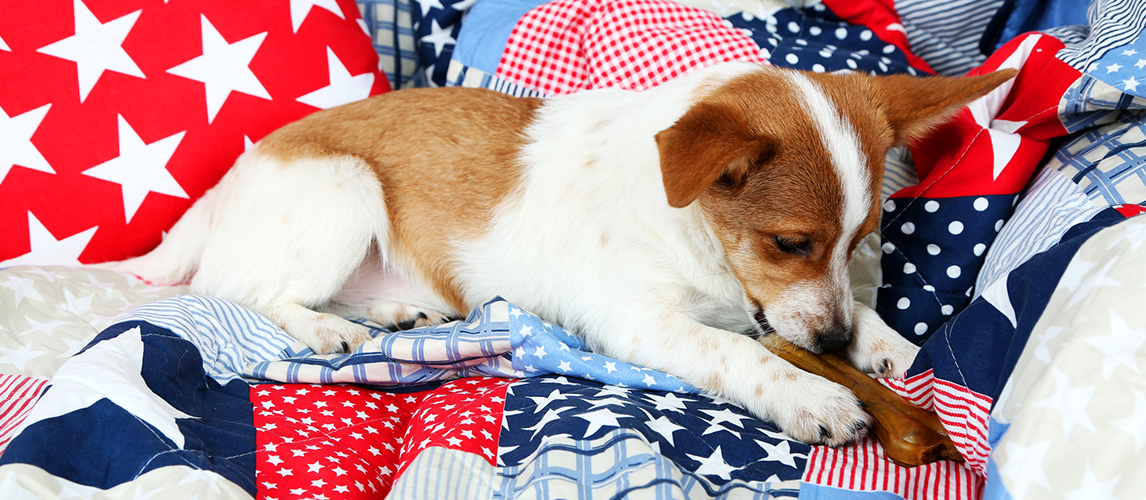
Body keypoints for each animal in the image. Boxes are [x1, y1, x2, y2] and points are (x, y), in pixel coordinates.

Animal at [114, 62, 1013, 444]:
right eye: (789, 242)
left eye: (860, 242)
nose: (829, 344)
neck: (697, 238)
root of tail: (228, 183)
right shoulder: (643, 324)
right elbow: (747, 354)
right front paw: (816, 393)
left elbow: (830, 314)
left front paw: (879, 342)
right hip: (343, 193)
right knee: (251, 292)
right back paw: (325, 330)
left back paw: (395, 309)